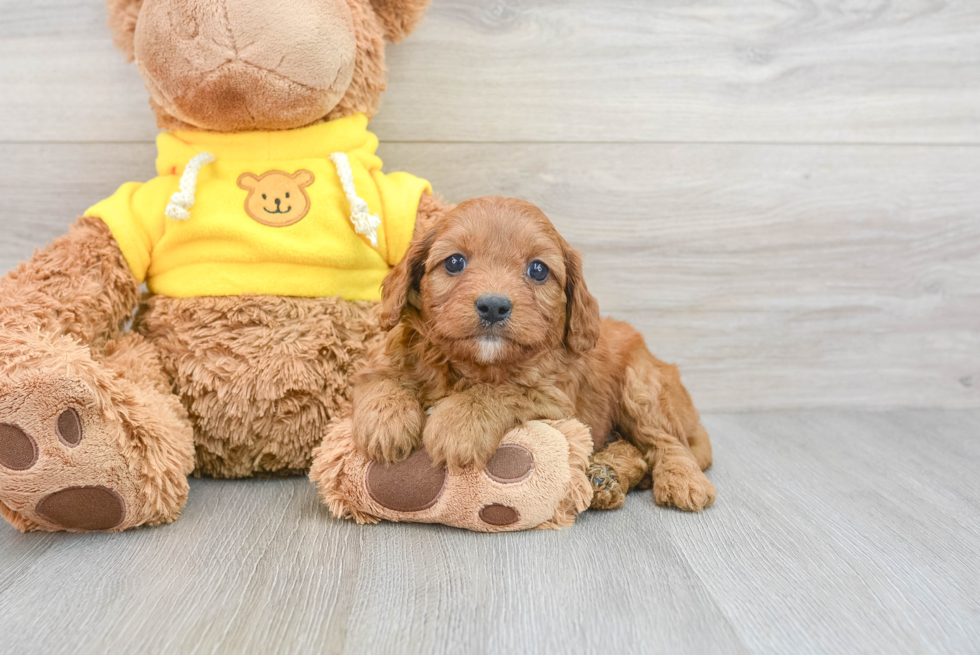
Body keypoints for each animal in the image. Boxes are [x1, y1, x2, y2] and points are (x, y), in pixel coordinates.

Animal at [350, 195, 712, 512]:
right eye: (454, 262)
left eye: (538, 270)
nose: (493, 306)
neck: (478, 365)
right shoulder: (380, 361)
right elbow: (382, 378)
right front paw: (386, 421)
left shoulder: (557, 399)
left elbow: (505, 390)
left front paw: (459, 421)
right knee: (637, 452)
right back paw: (604, 477)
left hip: (642, 386)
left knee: (666, 442)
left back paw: (683, 482)